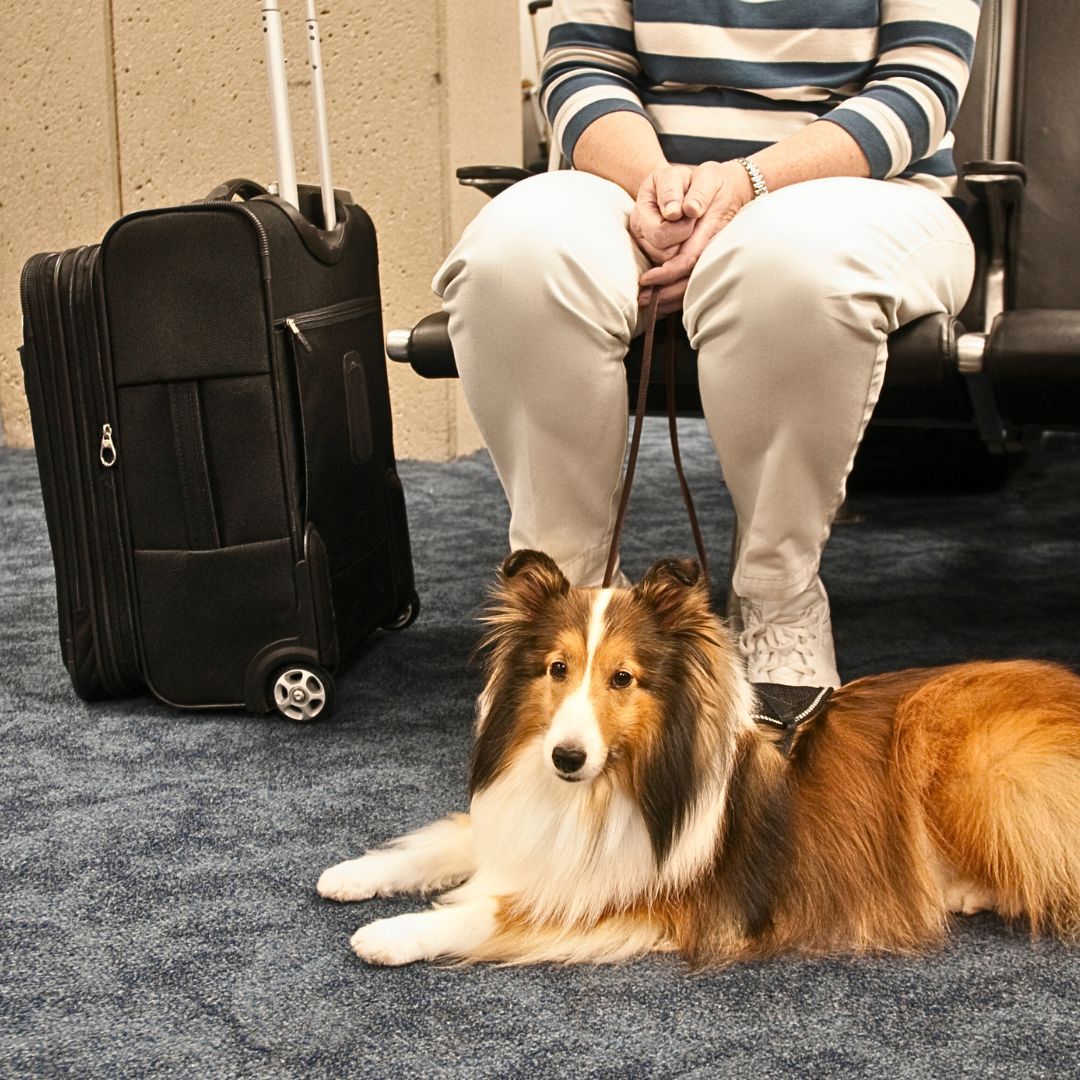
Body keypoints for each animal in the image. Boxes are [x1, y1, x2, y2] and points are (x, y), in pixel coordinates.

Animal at [317, 552, 1080, 967]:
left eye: (623, 678)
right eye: (558, 669)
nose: (566, 757)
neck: (609, 785)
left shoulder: (631, 895)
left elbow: (492, 913)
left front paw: (390, 933)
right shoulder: (523, 826)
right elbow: (444, 842)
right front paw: (352, 874)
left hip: (972, 757)